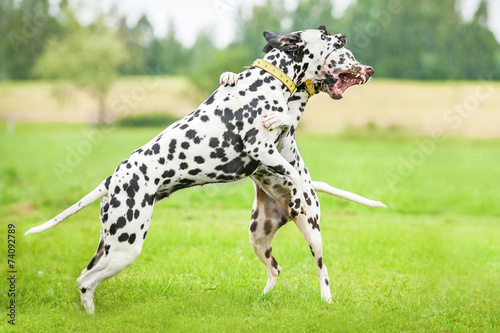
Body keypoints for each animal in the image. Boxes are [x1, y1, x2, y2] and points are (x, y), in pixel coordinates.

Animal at [24, 27, 378, 312]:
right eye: (326, 36)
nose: (344, 35)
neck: (270, 80)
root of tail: (114, 178)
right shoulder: (261, 149)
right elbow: (291, 170)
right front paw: (300, 186)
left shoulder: (274, 146)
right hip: (125, 247)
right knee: (85, 282)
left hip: (119, 246)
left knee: (304, 270)